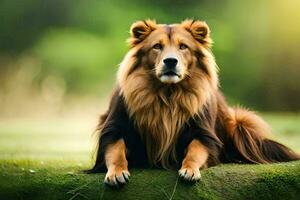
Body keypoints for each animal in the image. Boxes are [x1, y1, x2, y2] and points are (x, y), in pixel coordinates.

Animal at [88, 19, 298, 187]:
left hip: (240, 121)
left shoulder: (204, 133)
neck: (167, 94)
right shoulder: (114, 127)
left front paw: (189, 170)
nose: (170, 61)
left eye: (183, 47)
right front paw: (116, 173)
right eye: (156, 46)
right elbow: (115, 149)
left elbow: (196, 149)